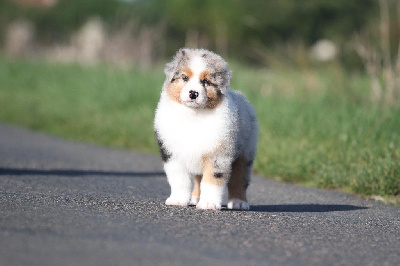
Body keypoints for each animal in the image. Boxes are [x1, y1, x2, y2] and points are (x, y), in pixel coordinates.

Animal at [153, 47, 260, 210]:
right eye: (185, 78)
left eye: (206, 81)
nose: (193, 93)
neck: (194, 115)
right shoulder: (172, 152)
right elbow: (179, 179)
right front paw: (177, 200)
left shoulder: (218, 153)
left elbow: (212, 179)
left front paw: (208, 203)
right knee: (198, 179)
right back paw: (195, 198)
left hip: (245, 152)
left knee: (239, 179)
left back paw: (239, 202)